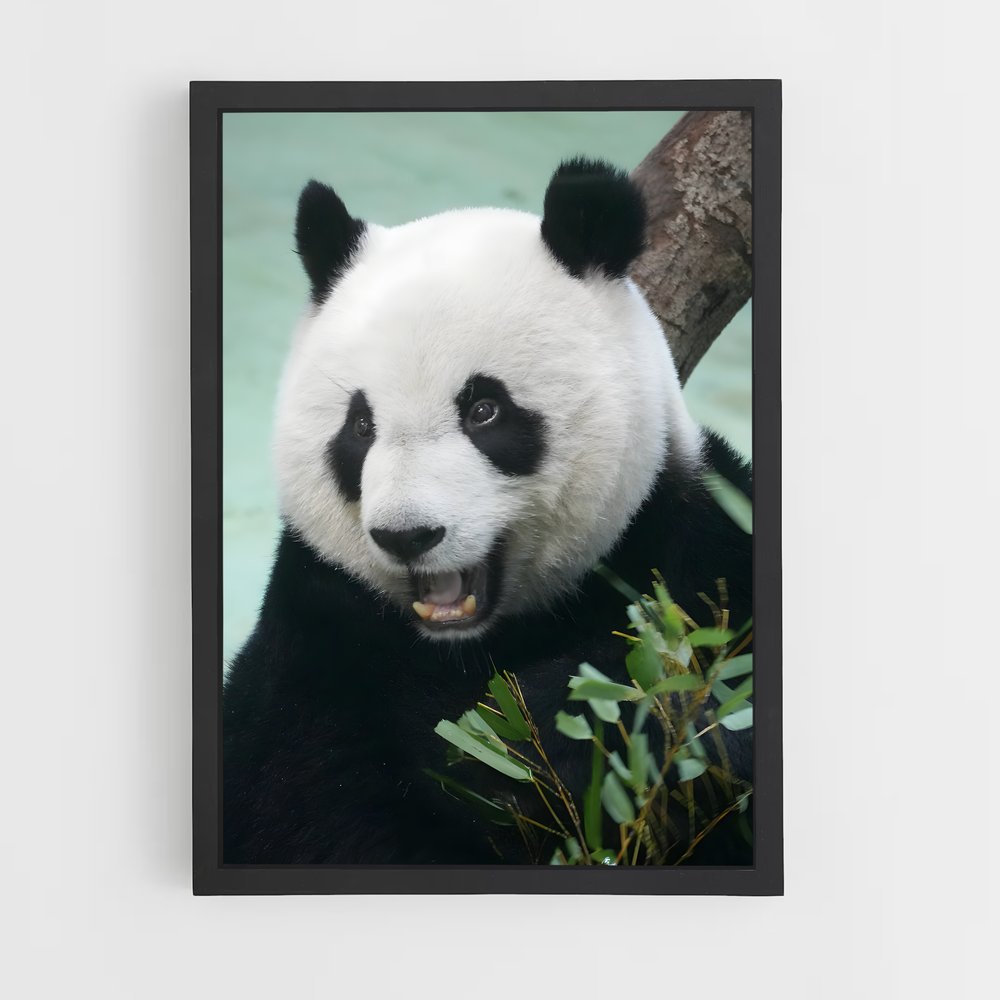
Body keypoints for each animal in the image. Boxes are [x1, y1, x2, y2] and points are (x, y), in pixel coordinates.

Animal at [223, 158, 753, 866]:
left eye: (484, 410)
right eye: (359, 426)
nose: (408, 535)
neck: (470, 644)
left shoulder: (691, 547)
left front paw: (529, 731)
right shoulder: (319, 632)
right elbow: (312, 801)